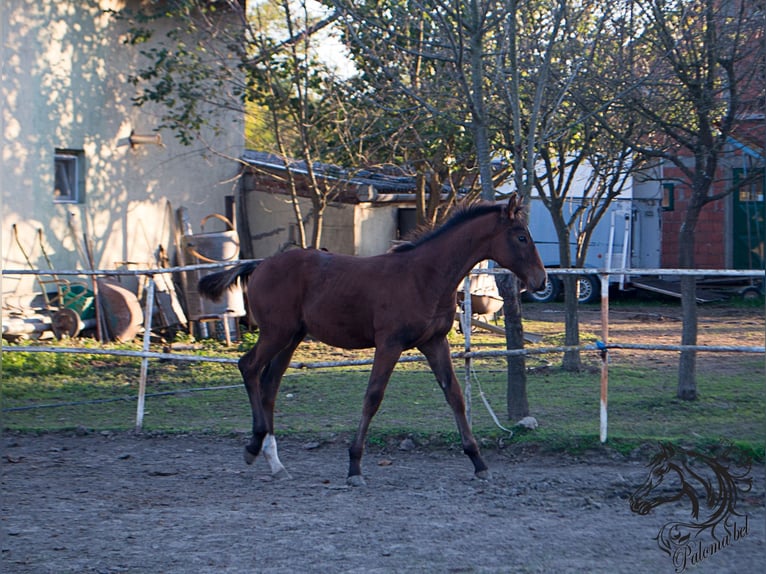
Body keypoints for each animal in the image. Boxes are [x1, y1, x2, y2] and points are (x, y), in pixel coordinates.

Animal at [198, 195, 544, 486]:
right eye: (521, 237)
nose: (541, 280)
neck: (425, 275)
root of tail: (259, 264)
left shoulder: (434, 342)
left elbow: (455, 396)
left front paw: (478, 462)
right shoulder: (389, 343)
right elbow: (373, 397)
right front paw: (354, 467)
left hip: (291, 337)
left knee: (269, 385)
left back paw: (274, 462)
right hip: (276, 333)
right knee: (249, 367)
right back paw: (254, 446)